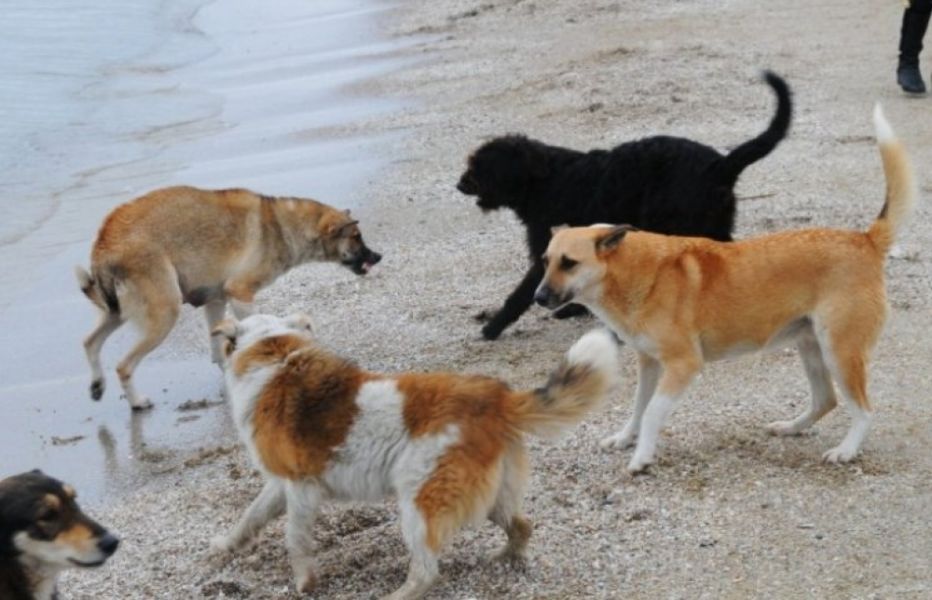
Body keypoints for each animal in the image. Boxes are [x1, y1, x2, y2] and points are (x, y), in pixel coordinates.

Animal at [75, 186, 382, 410]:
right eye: (356, 236)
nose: (378, 257)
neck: (282, 226)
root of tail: (105, 241)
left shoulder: (216, 300)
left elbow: (217, 344)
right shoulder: (240, 293)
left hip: (115, 312)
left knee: (90, 342)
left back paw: (97, 383)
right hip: (164, 314)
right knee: (124, 366)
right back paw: (137, 402)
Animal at [210, 313, 618, 599]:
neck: (271, 349)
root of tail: (497, 399)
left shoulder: (301, 488)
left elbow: (295, 540)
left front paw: (304, 582)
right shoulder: (281, 484)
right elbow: (251, 516)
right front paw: (228, 546)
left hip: (419, 502)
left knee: (426, 572)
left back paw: (396, 595)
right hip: (487, 494)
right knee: (522, 526)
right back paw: (507, 559)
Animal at [457, 71, 792, 340]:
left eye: (477, 168)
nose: (459, 184)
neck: (545, 179)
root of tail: (720, 165)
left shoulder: (548, 249)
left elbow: (521, 294)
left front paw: (492, 327)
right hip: (713, 225)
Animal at [533, 104, 915, 473]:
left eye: (569, 262)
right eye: (545, 260)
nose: (538, 298)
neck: (637, 271)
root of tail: (865, 239)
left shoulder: (684, 364)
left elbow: (653, 411)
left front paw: (641, 458)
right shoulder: (650, 363)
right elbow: (639, 408)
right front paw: (626, 438)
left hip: (840, 350)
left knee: (863, 409)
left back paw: (846, 451)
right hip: (811, 346)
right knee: (826, 400)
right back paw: (791, 427)